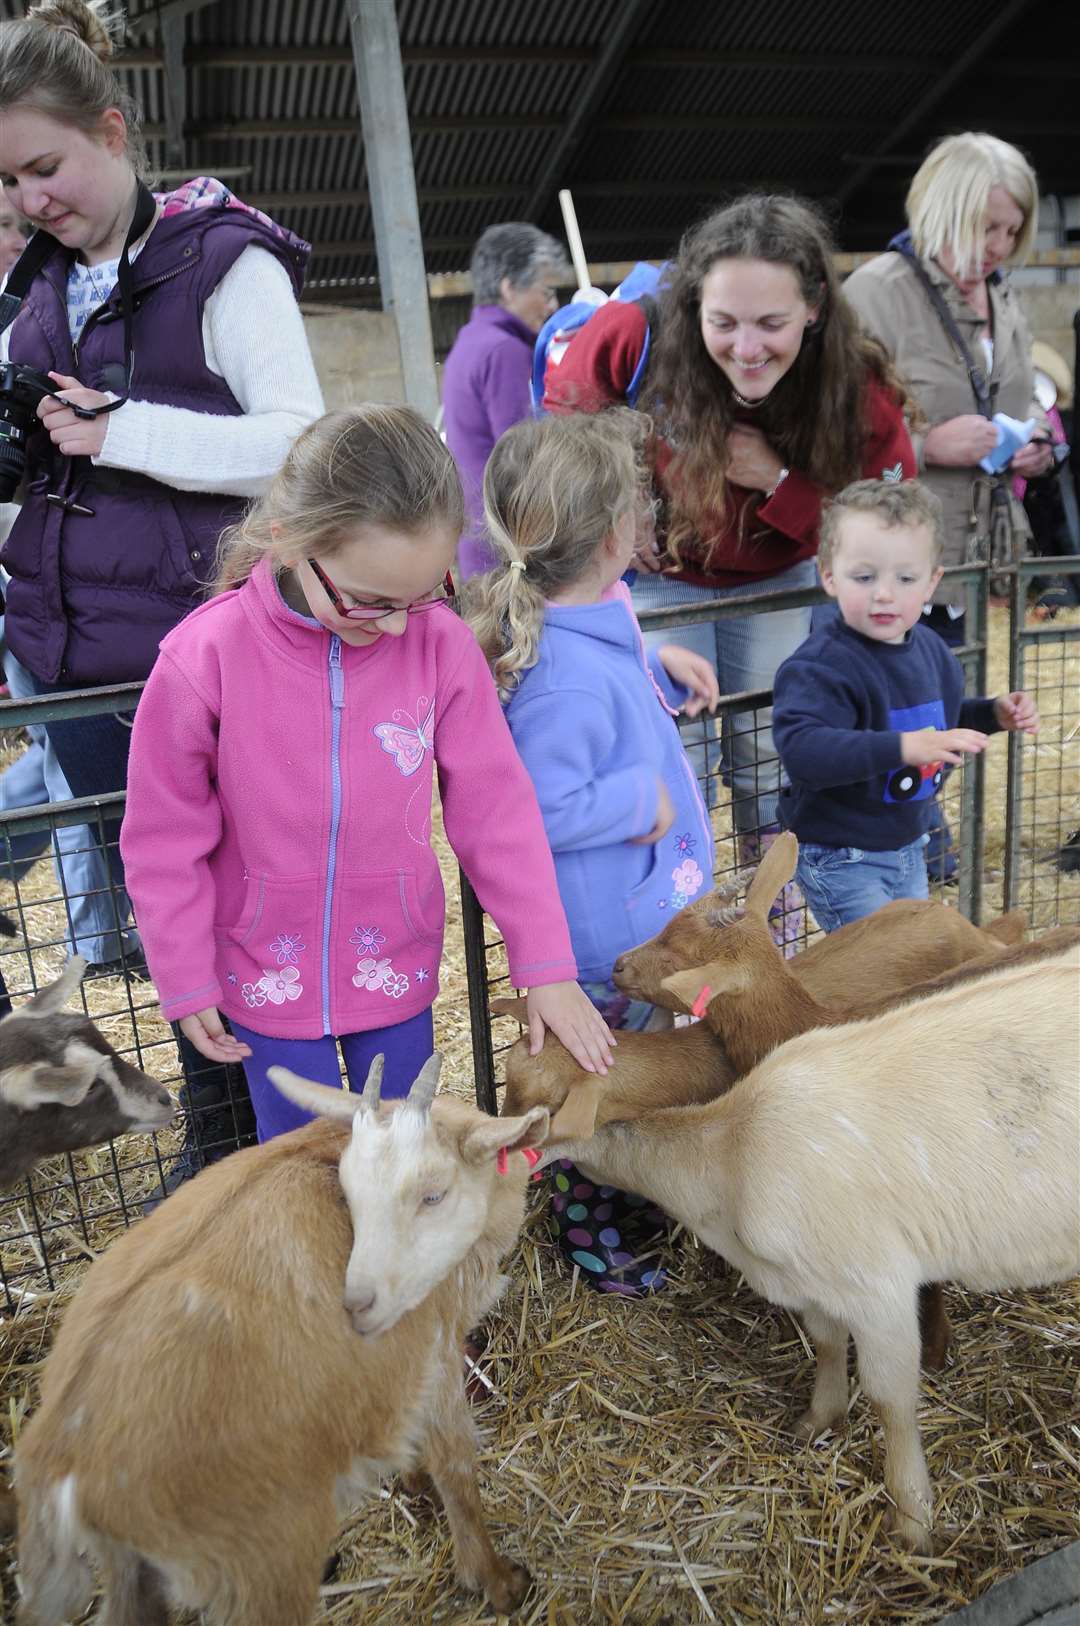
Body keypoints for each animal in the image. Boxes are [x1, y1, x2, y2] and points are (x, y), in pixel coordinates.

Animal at [19, 1053, 549, 1626]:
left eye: (433, 1195)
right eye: (350, 1197)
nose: (357, 1305)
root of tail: (57, 1453)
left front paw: (412, 1480)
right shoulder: (438, 1353)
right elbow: (457, 1467)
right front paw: (496, 1581)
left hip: (135, 1569)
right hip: (261, 1556)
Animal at [530, 949, 1080, 1554]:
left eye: (534, 1106)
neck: (727, 1160)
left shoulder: (877, 1285)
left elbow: (890, 1400)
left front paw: (911, 1519)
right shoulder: (811, 1281)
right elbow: (826, 1342)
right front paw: (818, 1418)